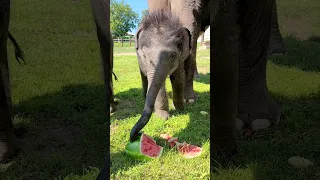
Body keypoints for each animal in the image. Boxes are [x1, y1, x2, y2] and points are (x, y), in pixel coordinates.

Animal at [129, 10, 190, 141]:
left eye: (173, 56)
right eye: (144, 55)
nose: (135, 135)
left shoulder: (181, 58)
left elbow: (178, 78)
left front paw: (181, 109)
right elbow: (158, 82)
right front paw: (163, 117)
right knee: (143, 77)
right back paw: (144, 95)